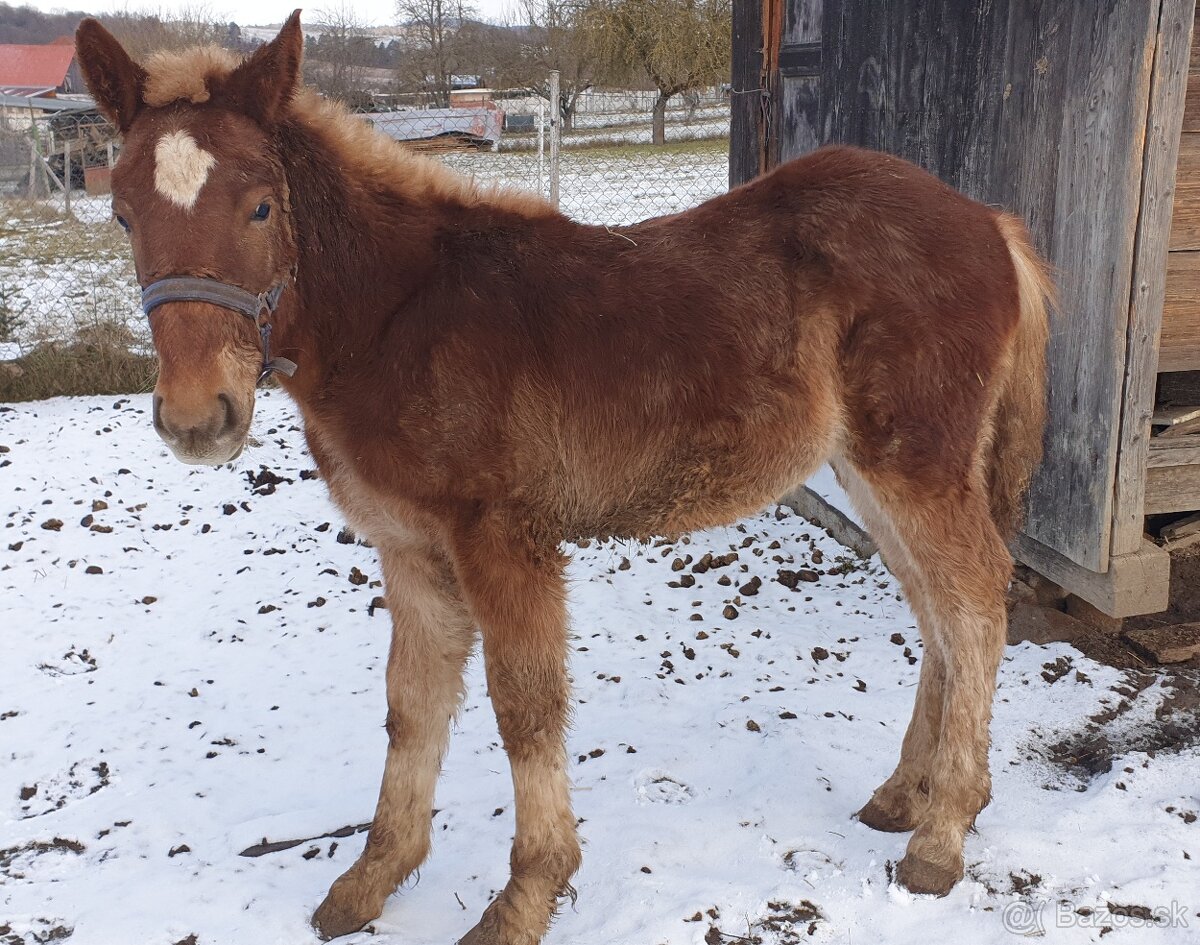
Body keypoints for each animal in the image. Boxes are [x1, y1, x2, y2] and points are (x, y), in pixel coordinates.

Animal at [77, 14, 1051, 944]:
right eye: (123, 215)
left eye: (261, 206)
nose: (197, 418)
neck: (397, 319)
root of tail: (988, 221)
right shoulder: (408, 546)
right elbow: (412, 706)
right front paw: (370, 881)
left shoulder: (502, 536)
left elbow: (525, 708)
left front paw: (524, 897)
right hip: (867, 466)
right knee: (936, 608)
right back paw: (903, 797)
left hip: (914, 460)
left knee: (974, 598)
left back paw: (942, 837)